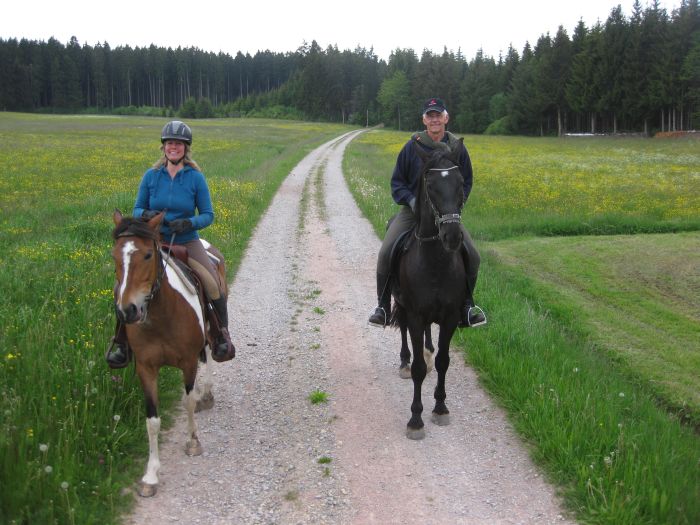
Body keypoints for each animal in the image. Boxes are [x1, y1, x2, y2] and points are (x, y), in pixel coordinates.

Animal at [110, 209, 220, 496]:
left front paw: (193, 442)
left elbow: (188, 402)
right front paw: (150, 475)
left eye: (148, 254)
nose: (128, 310)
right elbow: (152, 421)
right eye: (114, 256)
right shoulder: (146, 368)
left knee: (210, 354)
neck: (161, 316)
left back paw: (207, 393)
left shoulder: (188, 361)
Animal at [392, 138, 468, 438]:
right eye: (431, 185)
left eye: (461, 183)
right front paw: (415, 419)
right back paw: (403, 360)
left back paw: (427, 347)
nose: (452, 236)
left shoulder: (450, 317)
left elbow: (443, 362)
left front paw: (440, 408)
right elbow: (419, 369)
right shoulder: (414, 314)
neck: (435, 262)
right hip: (400, 304)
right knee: (402, 330)